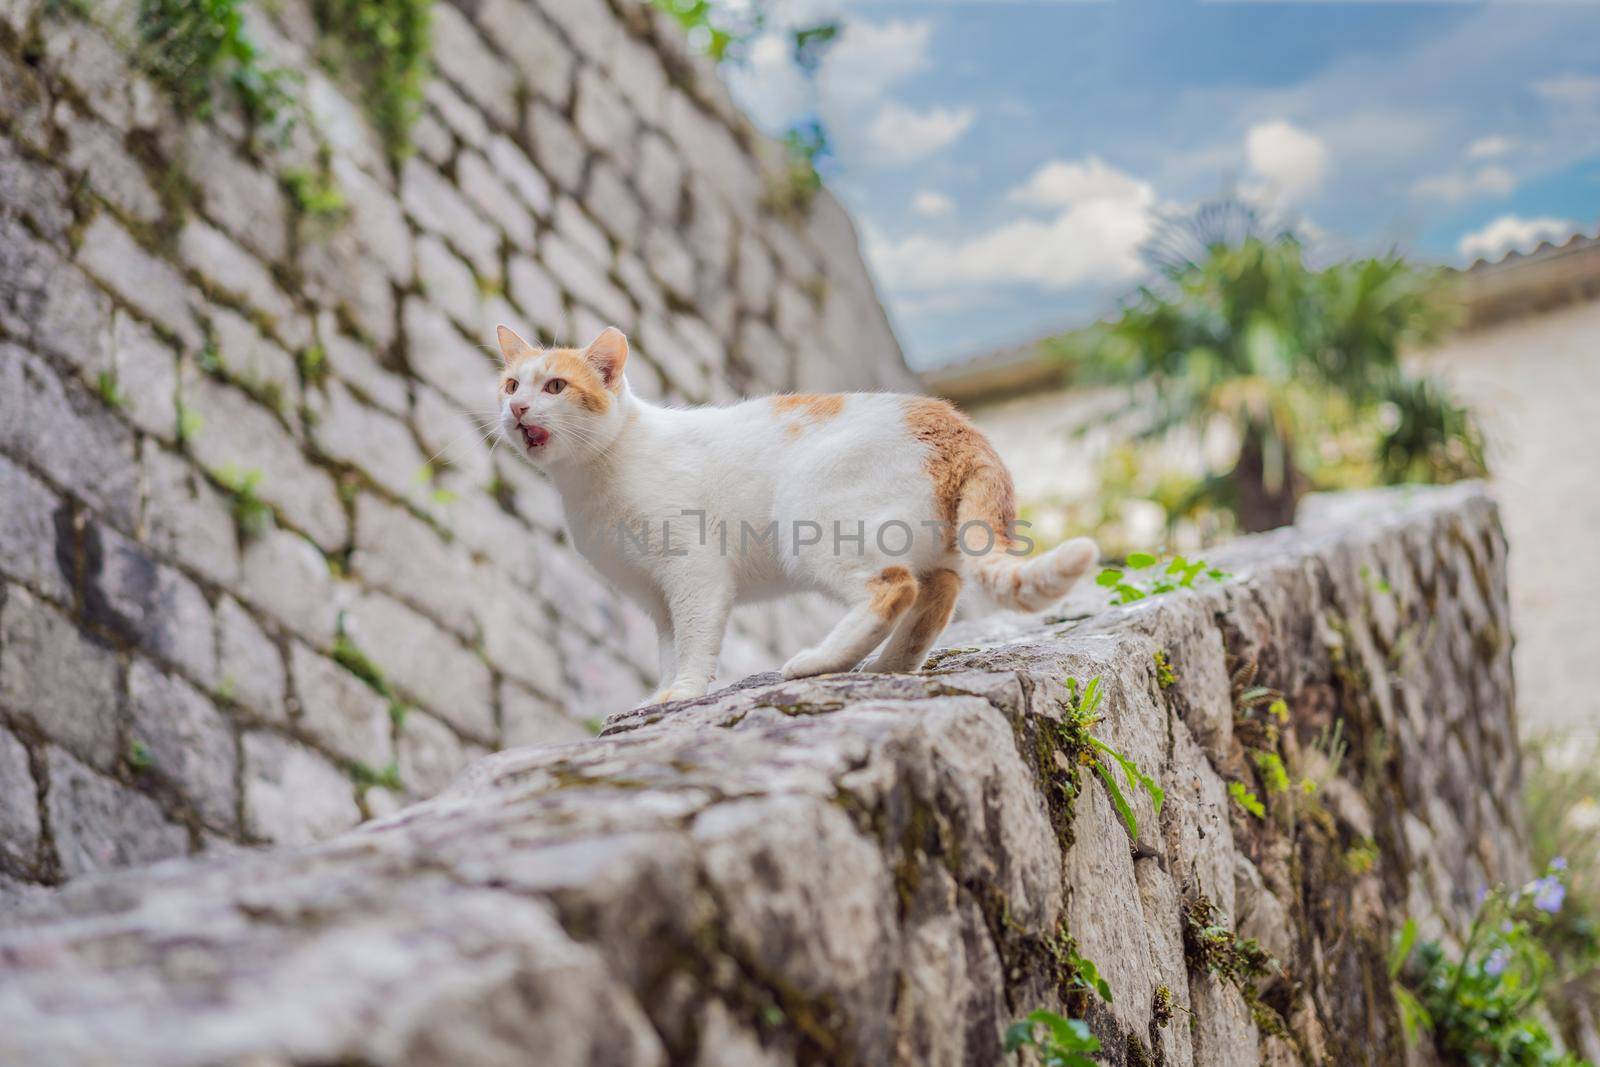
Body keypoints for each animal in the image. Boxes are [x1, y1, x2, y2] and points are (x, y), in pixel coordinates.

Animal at [496, 326, 1100, 710]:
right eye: (510, 385)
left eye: (555, 386)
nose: (516, 409)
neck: (593, 474)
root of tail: (957, 423)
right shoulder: (656, 597)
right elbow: (669, 649)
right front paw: (659, 696)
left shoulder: (694, 574)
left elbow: (694, 643)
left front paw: (684, 693)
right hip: (930, 549)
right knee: (939, 593)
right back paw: (886, 668)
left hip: (815, 525)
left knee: (894, 589)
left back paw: (820, 662)